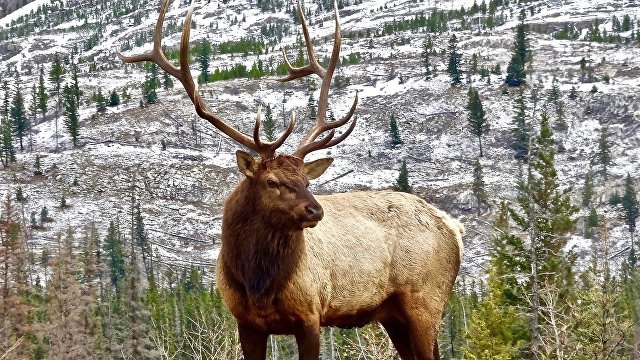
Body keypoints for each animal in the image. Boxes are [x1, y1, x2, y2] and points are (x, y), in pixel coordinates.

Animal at [117, 1, 462, 358]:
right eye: (271, 182)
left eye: (306, 182)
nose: (316, 211)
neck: (258, 284)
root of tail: (453, 227)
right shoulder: (247, 323)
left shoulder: (310, 314)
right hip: (393, 314)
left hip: (426, 300)